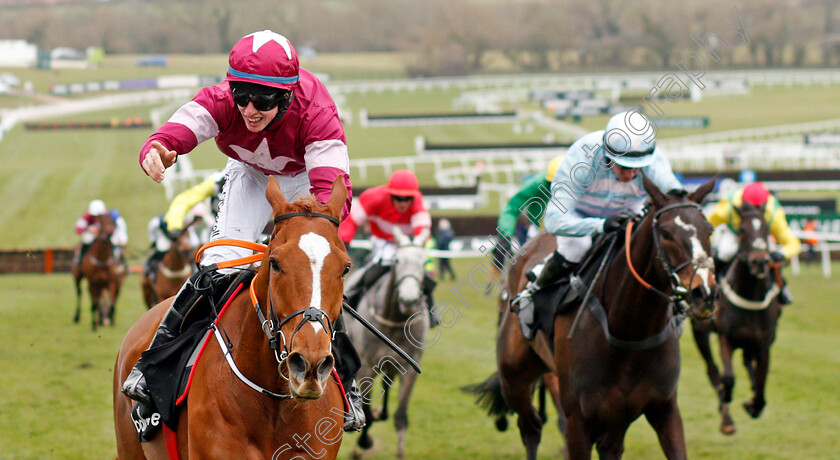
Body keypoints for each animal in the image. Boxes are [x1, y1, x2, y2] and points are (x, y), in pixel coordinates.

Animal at [466, 177, 716, 460]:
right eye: (666, 233)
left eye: (709, 229)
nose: (704, 293)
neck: (628, 331)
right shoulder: (578, 419)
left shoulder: (663, 408)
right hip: (514, 378)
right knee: (530, 427)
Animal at [692, 200, 784, 434]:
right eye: (742, 230)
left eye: (767, 229)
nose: (759, 262)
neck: (749, 295)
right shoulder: (726, 337)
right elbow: (728, 377)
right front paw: (727, 404)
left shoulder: (764, 343)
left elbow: (761, 382)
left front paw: (753, 404)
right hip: (700, 333)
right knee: (712, 371)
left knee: (747, 363)